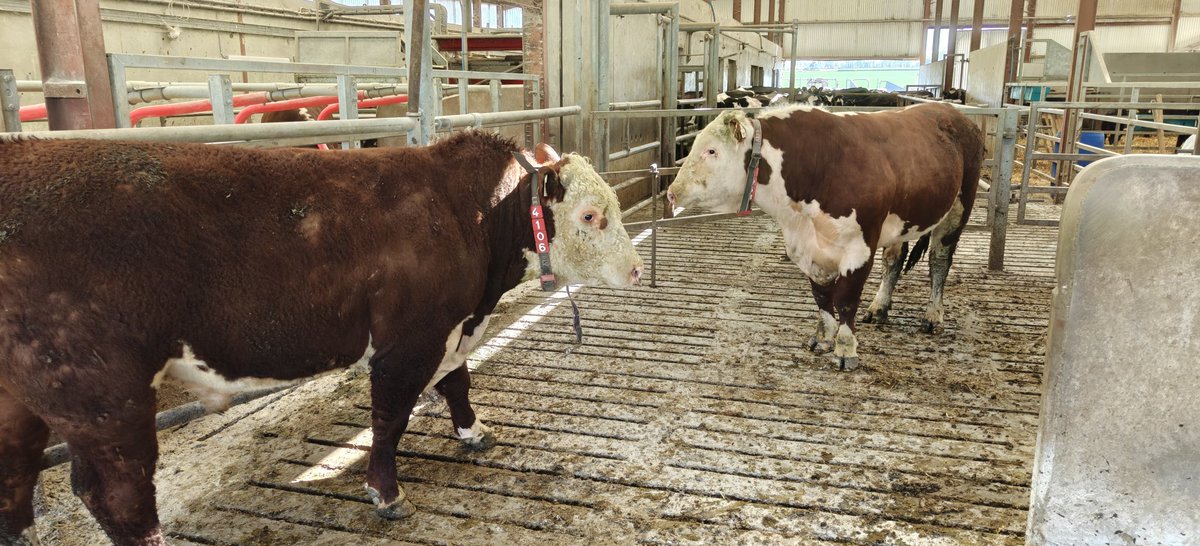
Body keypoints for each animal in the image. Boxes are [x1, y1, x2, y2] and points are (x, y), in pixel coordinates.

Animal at [0, 132, 644, 546]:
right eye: (590, 216)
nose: (637, 272)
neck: (473, 215)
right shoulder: (409, 340)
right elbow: (390, 417)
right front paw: (386, 494)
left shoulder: (450, 328)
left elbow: (457, 382)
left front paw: (474, 432)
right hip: (102, 394)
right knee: (117, 495)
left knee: (18, 480)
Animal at [666, 103, 984, 371]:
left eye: (711, 151)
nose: (672, 192)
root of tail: (951, 111)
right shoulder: (807, 248)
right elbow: (821, 295)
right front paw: (823, 337)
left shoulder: (859, 248)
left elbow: (845, 299)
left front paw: (846, 349)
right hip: (904, 220)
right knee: (893, 261)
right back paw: (879, 306)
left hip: (959, 207)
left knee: (940, 261)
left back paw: (933, 315)